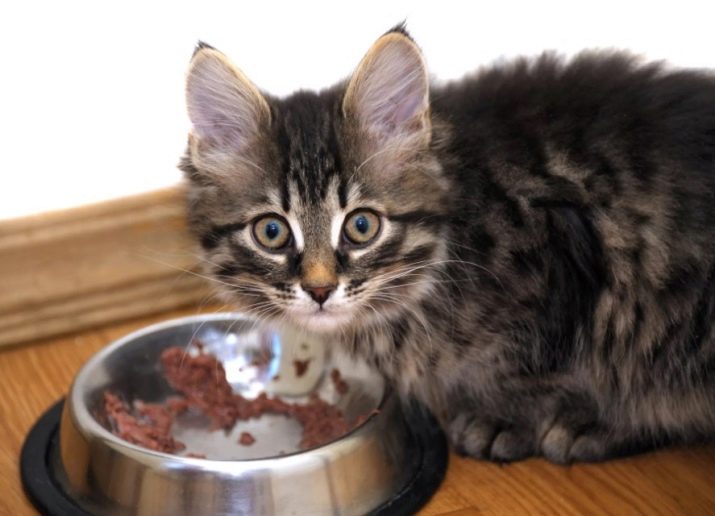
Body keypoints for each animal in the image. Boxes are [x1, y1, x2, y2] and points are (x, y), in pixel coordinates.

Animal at [179, 24, 715, 463]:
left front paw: (505, 420)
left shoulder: (560, 266)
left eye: (361, 227)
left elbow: (530, 368)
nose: (319, 289)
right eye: (271, 232)